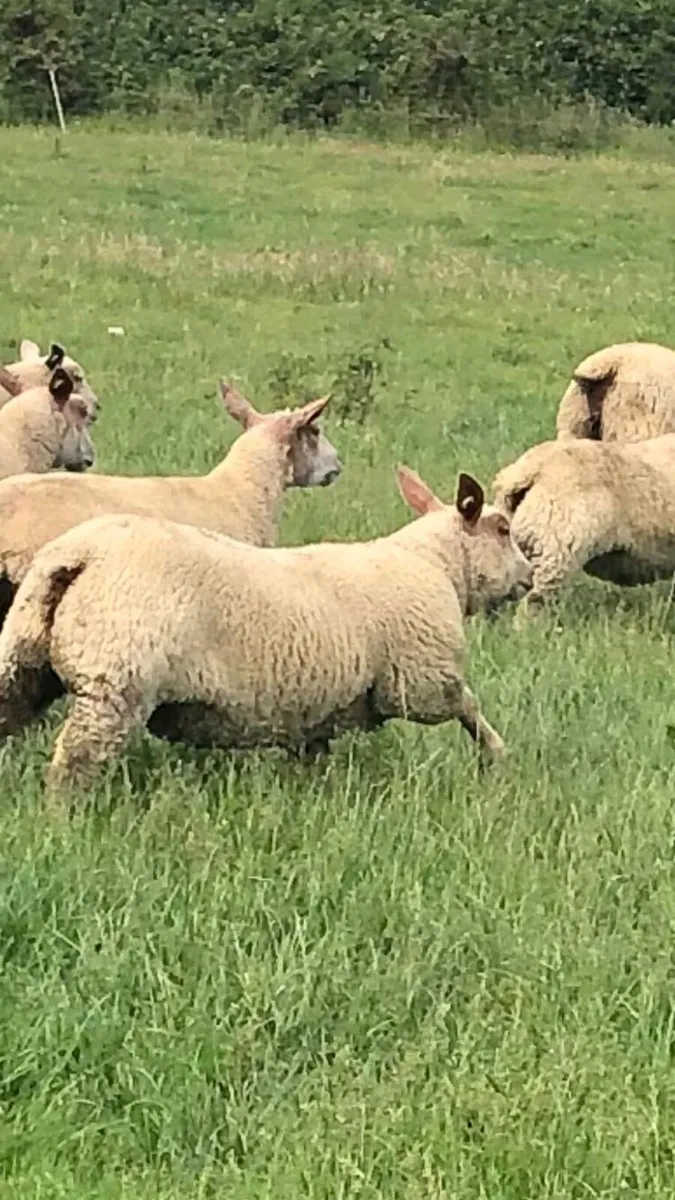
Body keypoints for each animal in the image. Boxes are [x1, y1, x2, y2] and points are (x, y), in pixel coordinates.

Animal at [0, 465, 533, 795]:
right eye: (503, 530)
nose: (529, 575)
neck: (435, 564)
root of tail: (77, 556)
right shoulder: (425, 681)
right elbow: (469, 707)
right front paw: (497, 758)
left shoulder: (318, 706)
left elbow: (313, 756)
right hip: (115, 683)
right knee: (72, 767)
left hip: (21, 663)